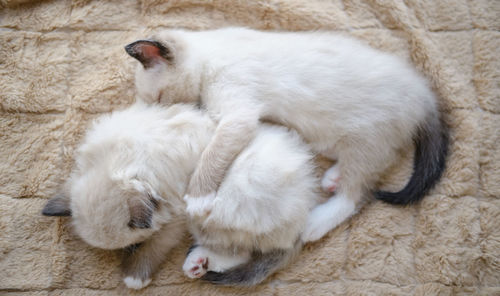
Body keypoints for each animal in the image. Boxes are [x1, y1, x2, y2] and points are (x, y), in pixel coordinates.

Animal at [42, 102, 316, 290]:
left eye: (136, 246)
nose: (127, 255)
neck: (119, 160)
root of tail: (304, 212)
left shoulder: (177, 216)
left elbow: (157, 245)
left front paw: (135, 276)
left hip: (220, 216)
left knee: (242, 252)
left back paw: (196, 265)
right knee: (240, 253)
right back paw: (196, 265)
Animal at [125, 26, 450, 242]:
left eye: (158, 100)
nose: (160, 115)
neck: (210, 56)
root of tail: (425, 95)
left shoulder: (237, 116)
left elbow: (212, 155)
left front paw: (197, 198)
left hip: (366, 138)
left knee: (355, 196)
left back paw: (314, 224)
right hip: (336, 135)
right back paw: (333, 177)